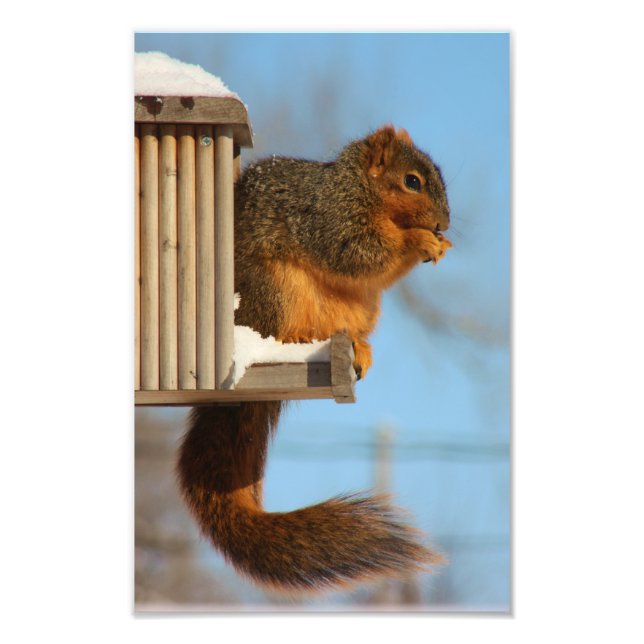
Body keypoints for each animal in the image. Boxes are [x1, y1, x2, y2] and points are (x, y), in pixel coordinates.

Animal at [177, 125, 452, 593]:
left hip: (360, 310)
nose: (444, 224)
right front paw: (418, 240)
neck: (357, 188)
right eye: (412, 181)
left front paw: (439, 243)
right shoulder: (330, 218)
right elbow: (360, 252)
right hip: (276, 290)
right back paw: (298, 337)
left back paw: (356, 348)